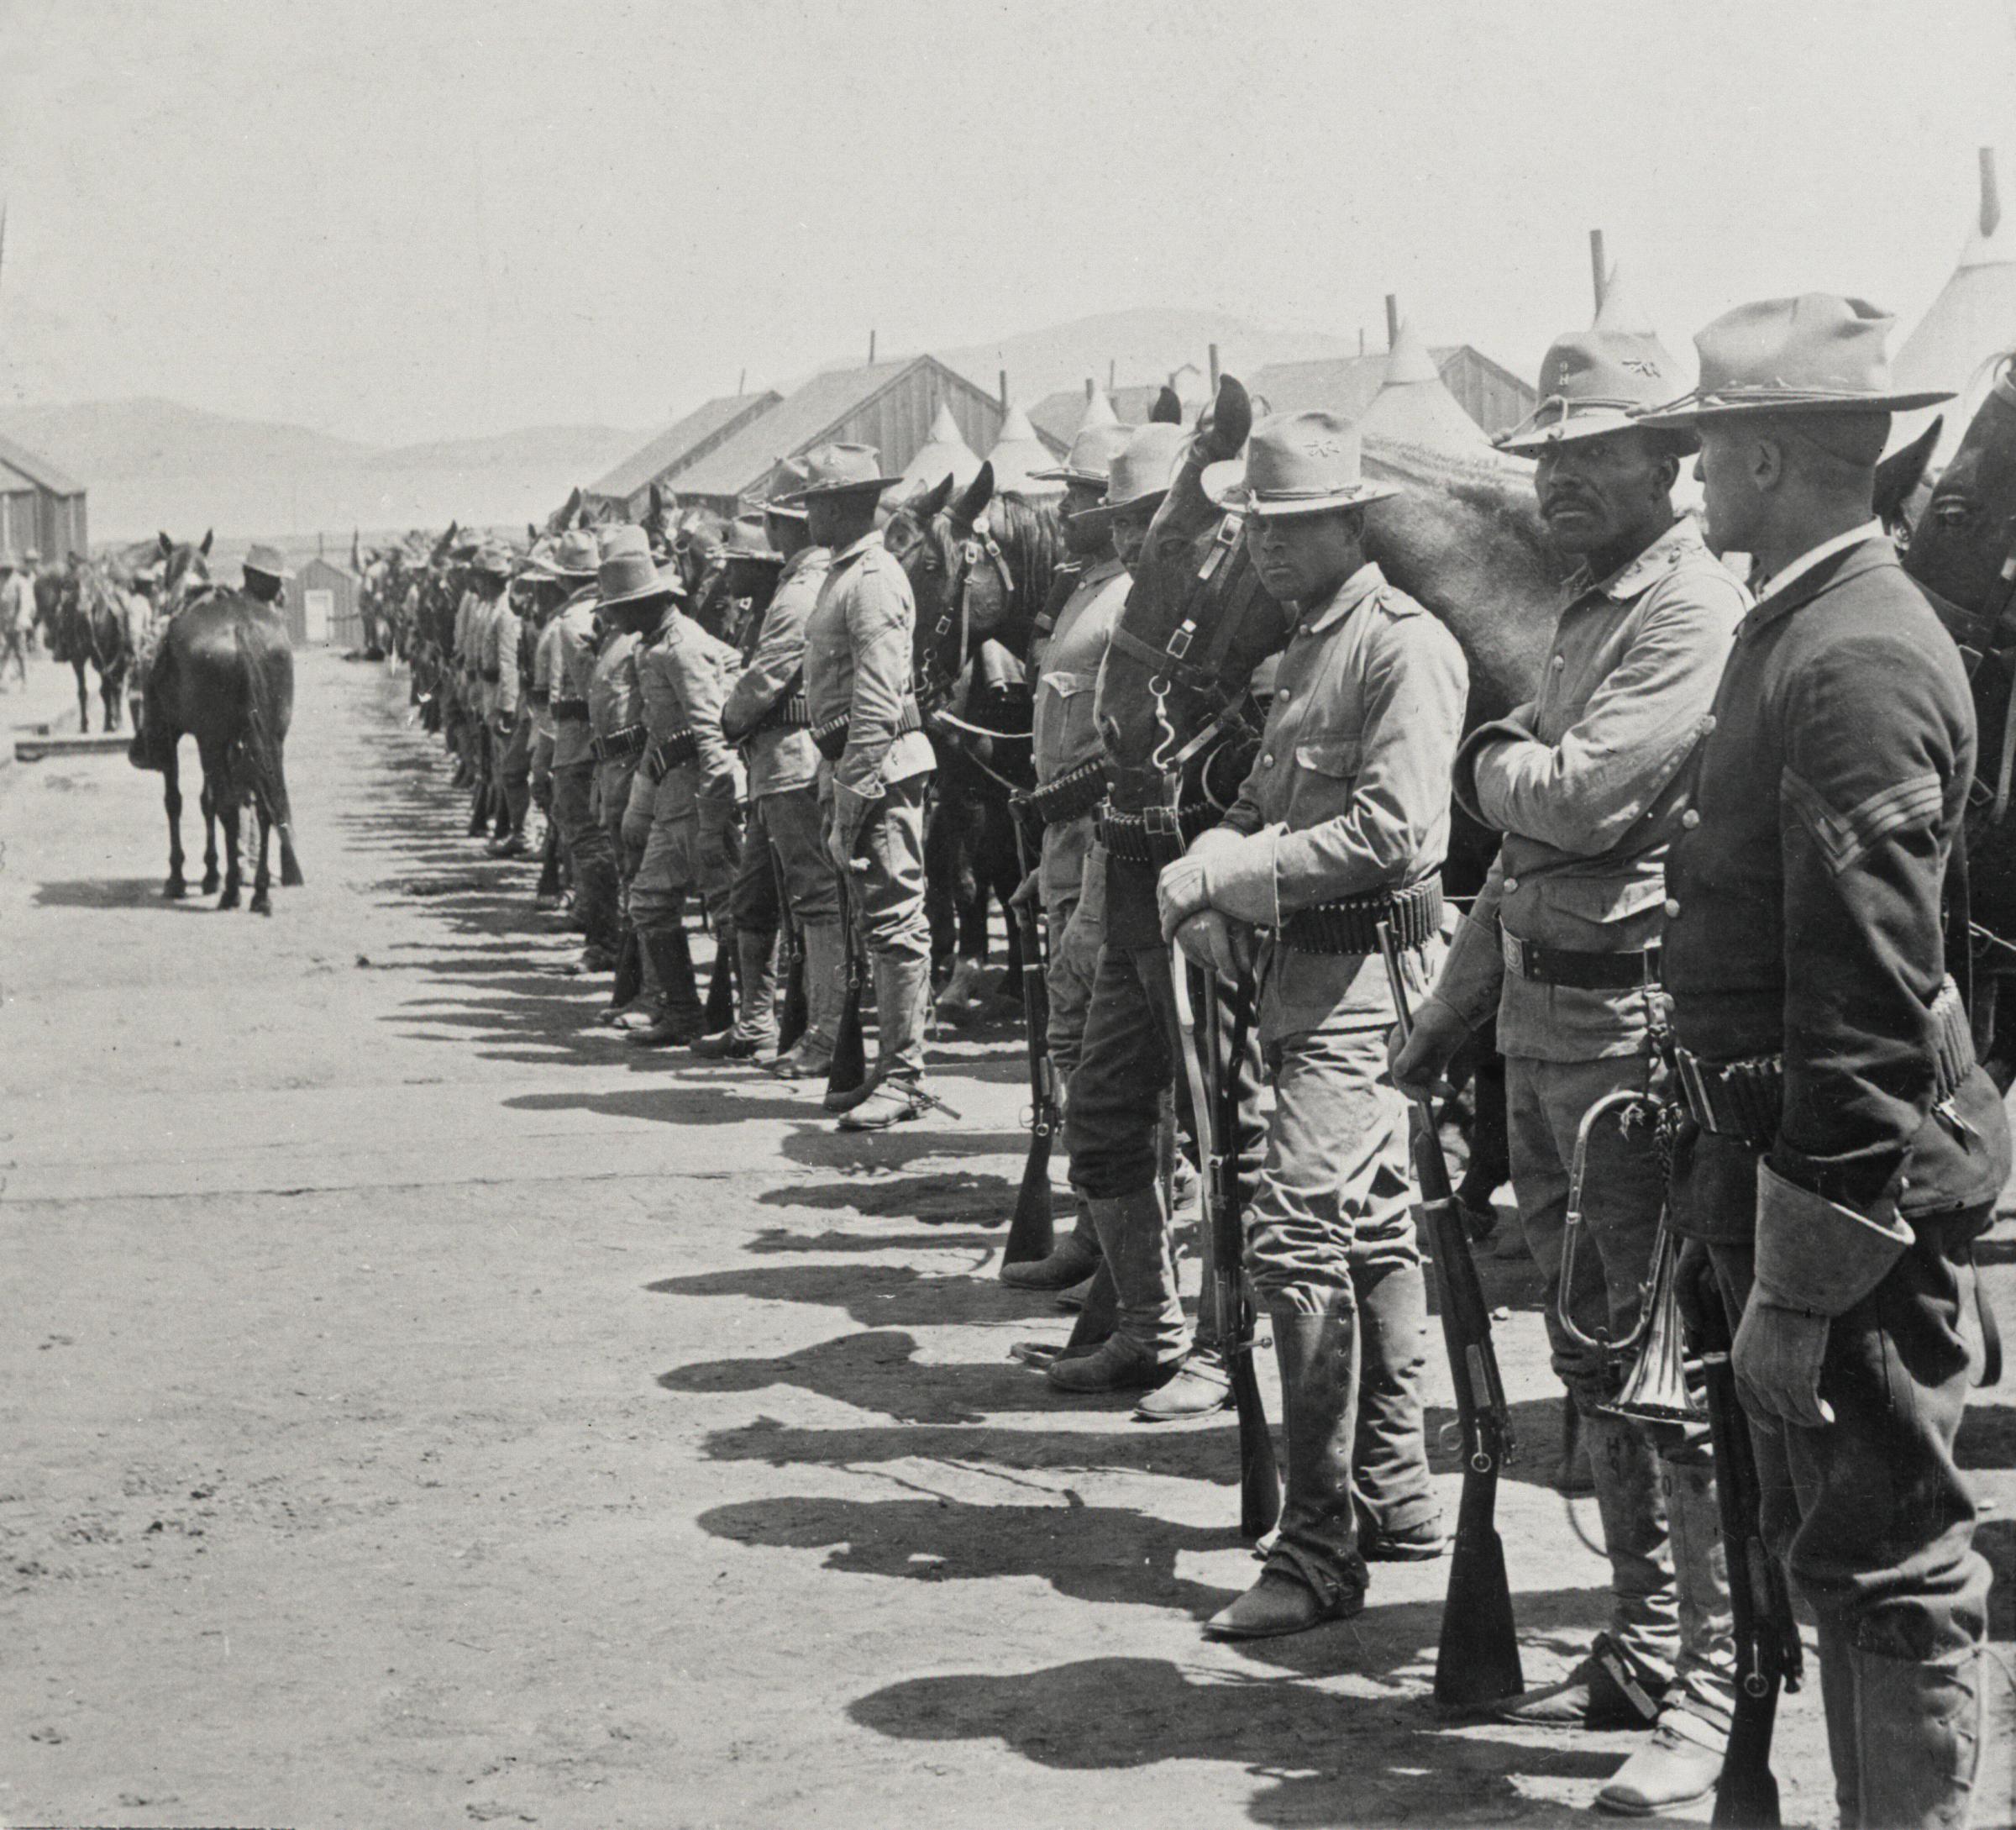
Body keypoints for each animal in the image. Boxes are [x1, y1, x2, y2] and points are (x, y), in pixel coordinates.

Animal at [55, 560, 136, 734]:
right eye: (70, 583)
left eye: (92, 583)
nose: (83, 609)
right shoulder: (84, 658)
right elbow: (89, 690)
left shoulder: (98, 657)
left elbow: (103, 689)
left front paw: (105, 724)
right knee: (111, 687)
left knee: (110, 687)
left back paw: (112, 722)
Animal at [129, 536, 300, 923]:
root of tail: (241, 628)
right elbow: (211, 802)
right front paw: (210, 873)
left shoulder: (180, 738)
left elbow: (177, 801)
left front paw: (179, 877)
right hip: (269, 740)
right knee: (263, 807)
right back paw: (260, 892)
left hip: (211, 740)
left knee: (227, 806)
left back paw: (234, 891)